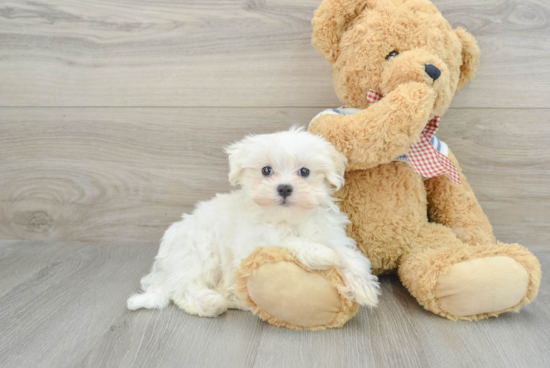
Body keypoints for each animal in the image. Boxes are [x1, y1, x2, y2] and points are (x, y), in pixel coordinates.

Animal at [128, 127, 380, 316]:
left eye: (304, 172)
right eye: (266, 170)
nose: (284, 188)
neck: (289, 218)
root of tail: (163, 270)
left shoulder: (329, 233)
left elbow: (349, 255)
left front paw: (364, 287)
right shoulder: (254, 241)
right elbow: (285, 239)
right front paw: (320, 254)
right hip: (199, 252)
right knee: (182, 289)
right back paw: (210, 302)